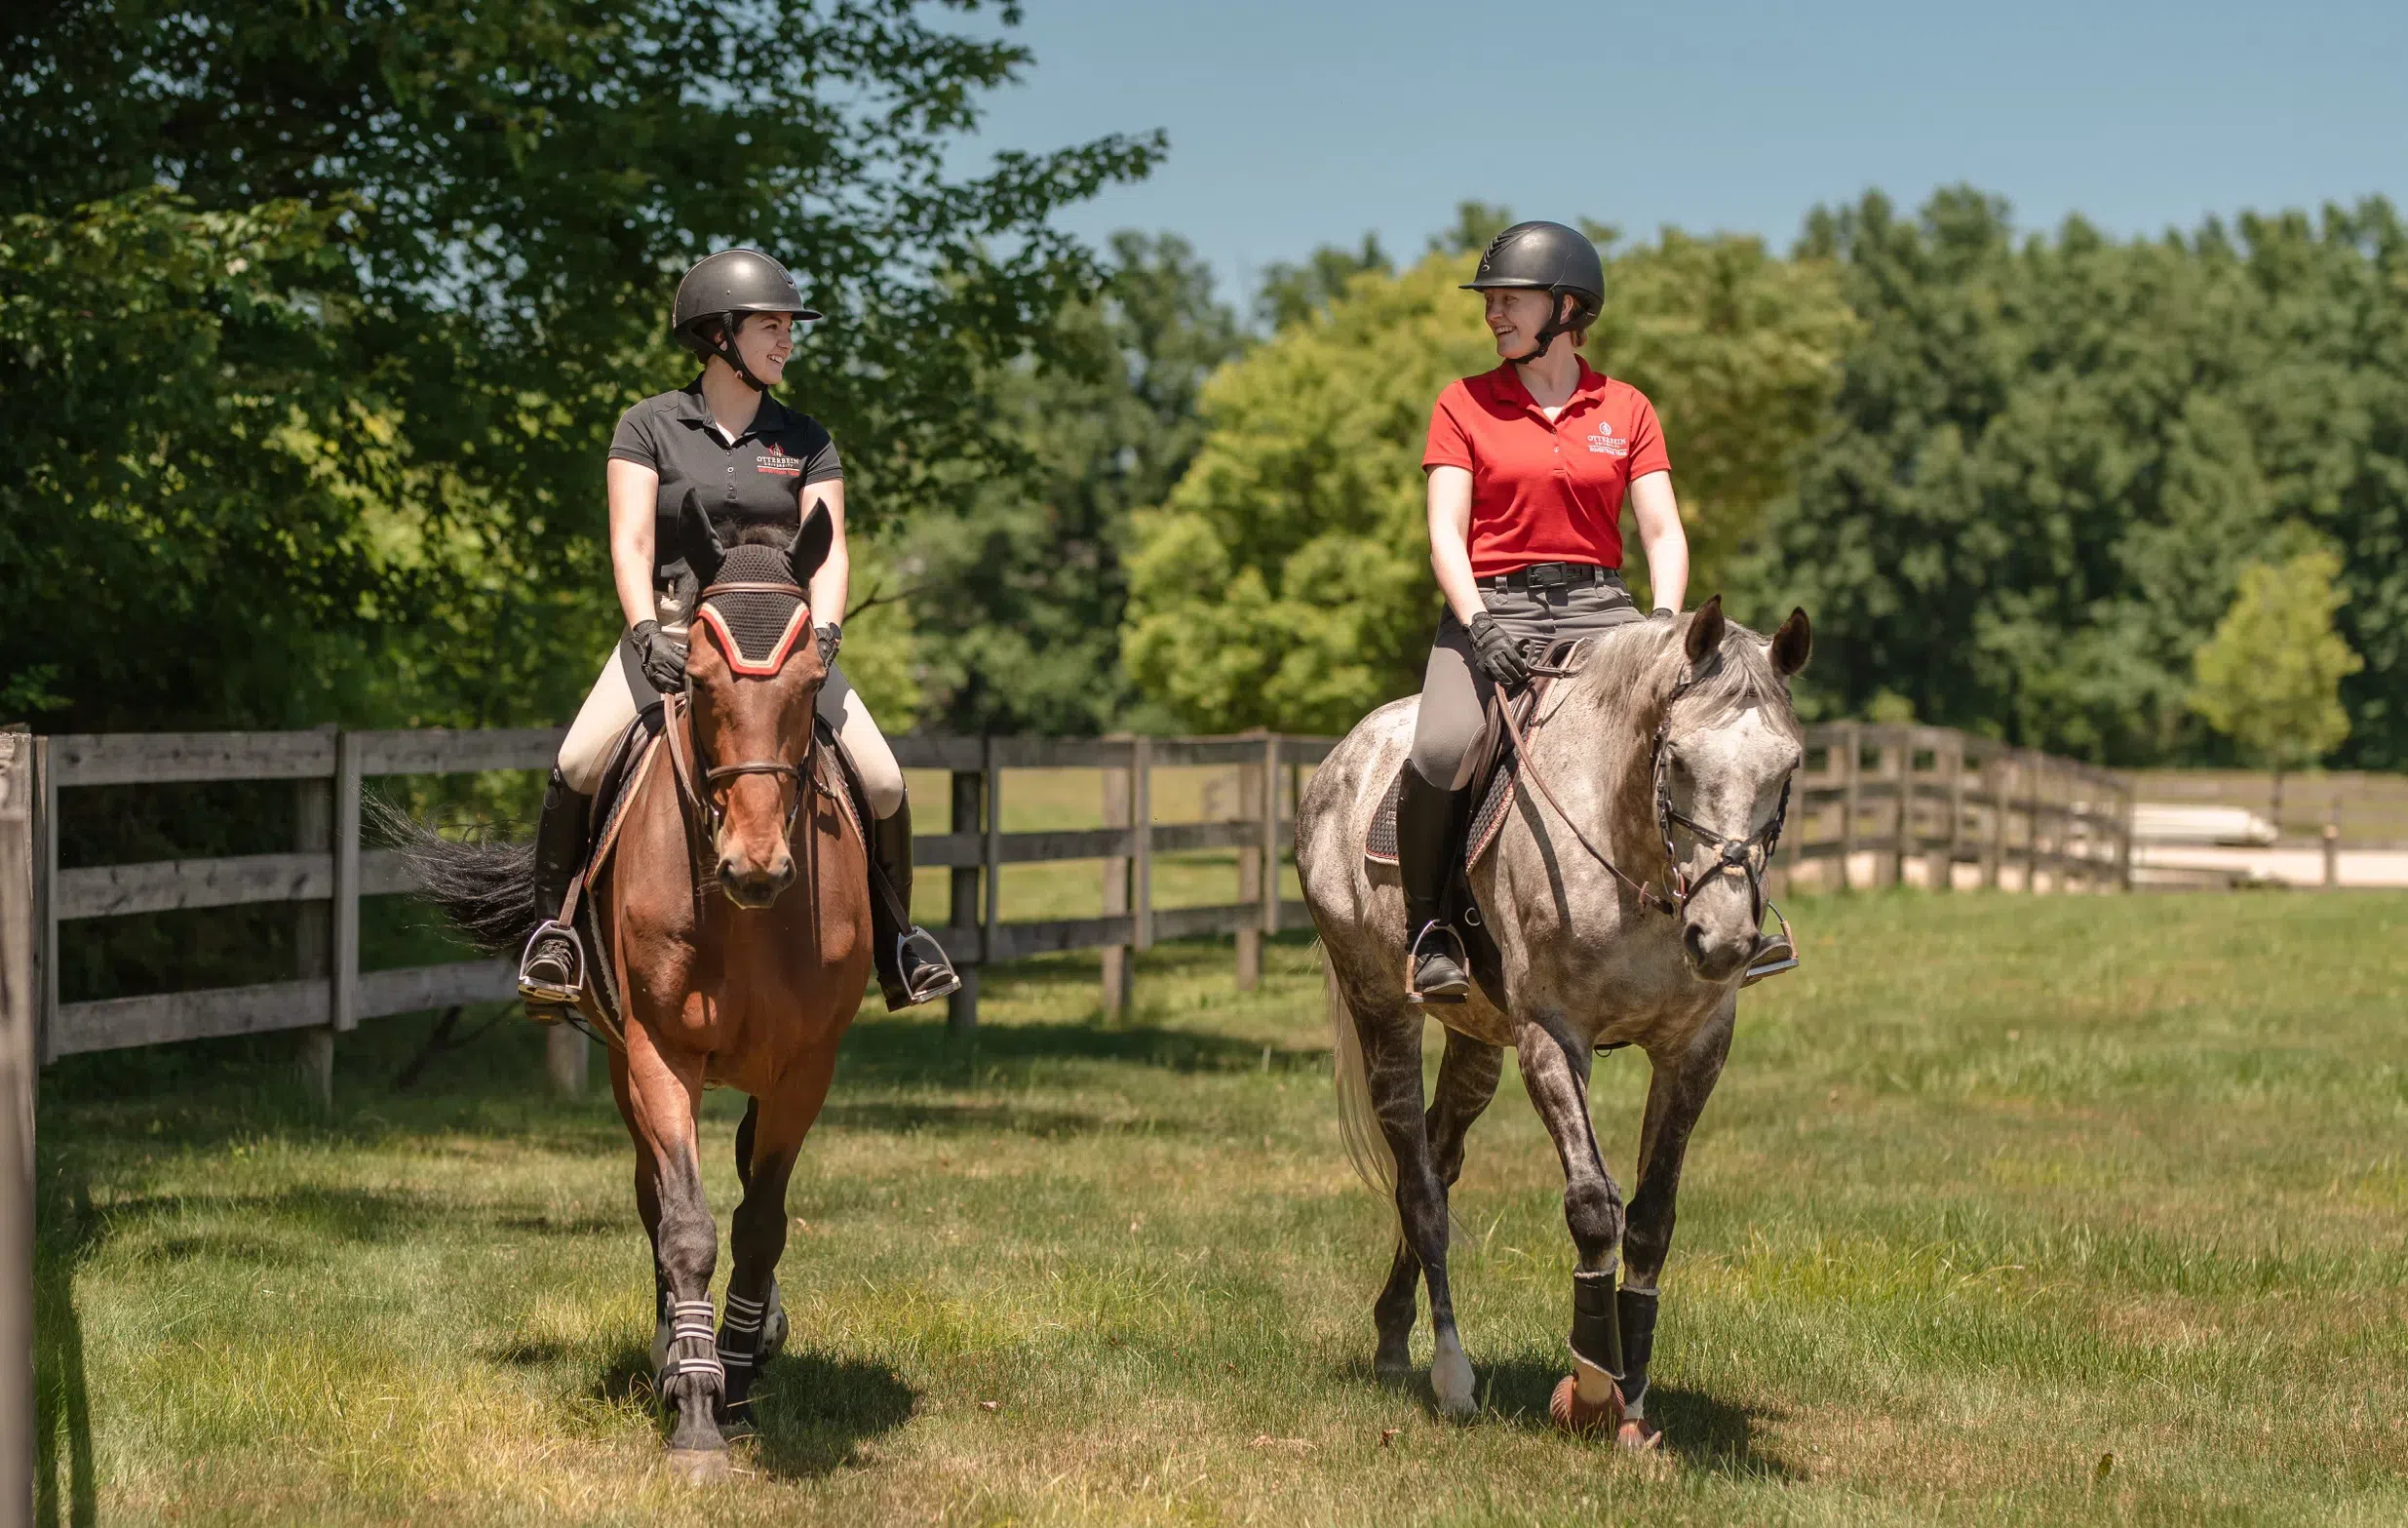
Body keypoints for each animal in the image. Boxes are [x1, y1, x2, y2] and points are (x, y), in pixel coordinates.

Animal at [402, 493, 876, 1465]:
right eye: (696, 678)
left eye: (813, 682)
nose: (755, 865)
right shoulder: (660, 1052)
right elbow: (686, 1222)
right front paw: (696, 1406)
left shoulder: (807, 1064)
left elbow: (761, 1219)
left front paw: (740, 1371)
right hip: (625, 1061)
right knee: (656, 1199)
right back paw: (675, 1355)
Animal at [1300, 595, 1810, 1436]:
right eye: (1676, 759)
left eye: (1789, 766)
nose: (1724, 938)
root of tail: (1343, 759)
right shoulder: (1551, 1035)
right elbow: (1594, 1207)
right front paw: (1595, 1386)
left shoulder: (1696, 1047)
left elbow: (1651, 1217)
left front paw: (1634, 1395)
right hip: (1383, 1010)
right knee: (1420, 1189)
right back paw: (1450, 1372)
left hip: (1477, 1040)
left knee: (1438, 1160)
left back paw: (1392, 1333)